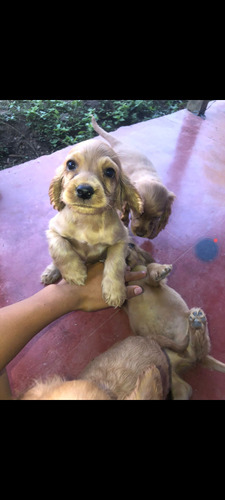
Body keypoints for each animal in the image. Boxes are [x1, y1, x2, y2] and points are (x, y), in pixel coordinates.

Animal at [40, 138, 142, 308]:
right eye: (71, 164)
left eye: (109, 172)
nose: (84, 191)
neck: (87, 220)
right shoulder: (53, 229)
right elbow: (60, 248)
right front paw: (75, 273)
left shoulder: (122, 239)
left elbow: (115, 262)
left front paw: (115, 291)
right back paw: (50, 272)